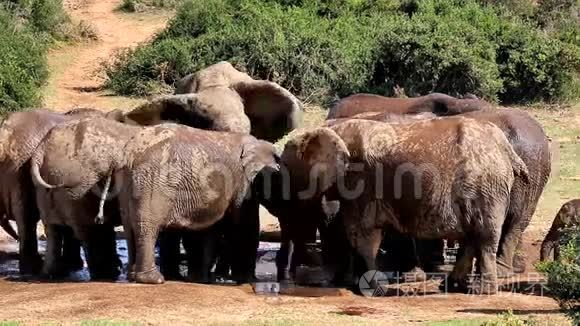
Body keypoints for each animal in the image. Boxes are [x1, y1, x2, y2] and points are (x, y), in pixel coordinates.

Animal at [30, 116, 142, 278]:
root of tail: (43, 147)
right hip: (80, 184)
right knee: (90, 230)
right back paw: (105, 274)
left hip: (49, 184)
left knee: (53, 229)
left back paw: (50, 275)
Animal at [115, 123, 278, 284]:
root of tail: (131, 154)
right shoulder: (244, 182)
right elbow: (245, 225)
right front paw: (248, 279)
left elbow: (209, 230)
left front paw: (203, 279)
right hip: (153, 181)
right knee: (148, 226)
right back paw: (154, 279)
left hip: (130, 181)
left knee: (130, 228)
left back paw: (136, 277)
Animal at [284, 118, 528, 296]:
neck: (328, 129)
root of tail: (507, 149)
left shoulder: (359, 181)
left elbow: (362, 233)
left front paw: (372, 289)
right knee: (471, 235)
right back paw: (452, 286)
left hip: (485, 185)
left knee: (484, 236)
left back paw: (481, 291)